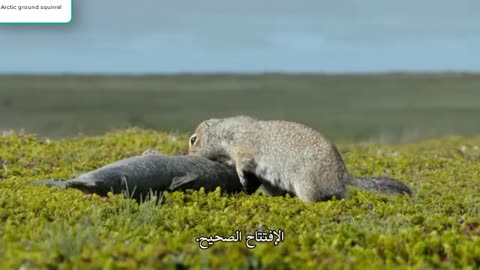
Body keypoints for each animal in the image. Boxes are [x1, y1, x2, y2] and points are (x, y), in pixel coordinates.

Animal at [188, 116, 412, 202]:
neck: (225, 131)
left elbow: (243, 161)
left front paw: (241, 176)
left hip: (306, 182)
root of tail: (344, 175)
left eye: (193, 139)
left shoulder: (243, 145)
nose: (187, 155)